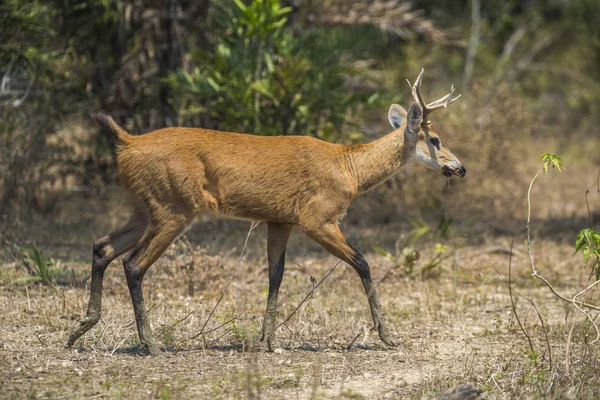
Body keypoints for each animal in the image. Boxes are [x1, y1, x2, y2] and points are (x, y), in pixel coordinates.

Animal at [68, 69, 466, 354]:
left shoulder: (280, 219)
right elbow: (363, 262)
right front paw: (388, 336)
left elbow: (275, 274)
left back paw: (79, 330)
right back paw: (150, 344)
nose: (460, 168)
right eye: (435, 140)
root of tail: (128, 143)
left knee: (102, 246)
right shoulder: (316, 217)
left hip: (144, 206)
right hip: (174, 206)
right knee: (133, 263)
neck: (349, 168)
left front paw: (269, 341)